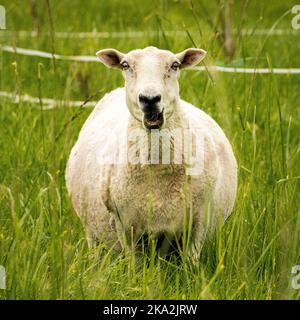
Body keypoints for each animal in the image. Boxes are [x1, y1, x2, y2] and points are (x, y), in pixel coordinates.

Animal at [65, 45, 237, 260]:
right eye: (125, 65)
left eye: (175, 65)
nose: (149, 99)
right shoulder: (126, 227)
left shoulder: (198, 225)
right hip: (92, 232)